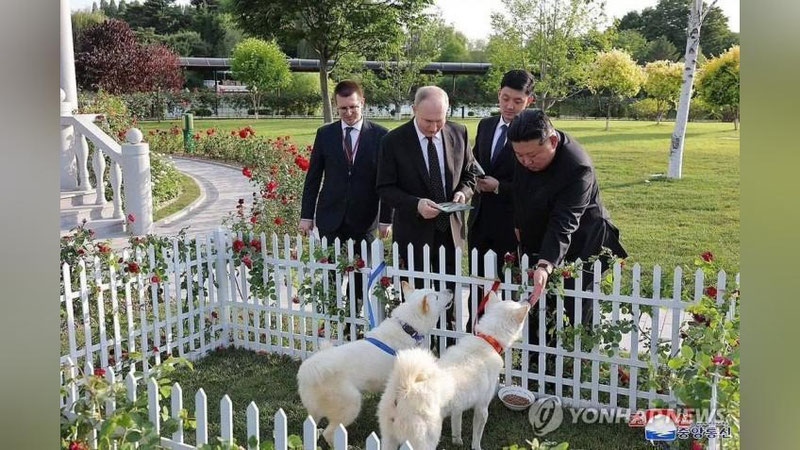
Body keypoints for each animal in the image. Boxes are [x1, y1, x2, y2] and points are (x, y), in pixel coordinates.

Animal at [296, 282, 454, 442]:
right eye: (436, 296)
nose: (450, 289)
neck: (408, 328)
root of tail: (308, 370)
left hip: (315, 411)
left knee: (311, 426)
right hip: (351, 404)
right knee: (329, 433)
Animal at [376, 292, 528, 450]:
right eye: (517, 302)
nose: (527, 299)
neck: (488, 339)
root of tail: (404, 388)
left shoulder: (458, 407)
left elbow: (456, 425)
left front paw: (457, 441)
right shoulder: (482, 408)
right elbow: (477, 437)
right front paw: (476, 447)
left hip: (389, 438)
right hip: (425, 441)